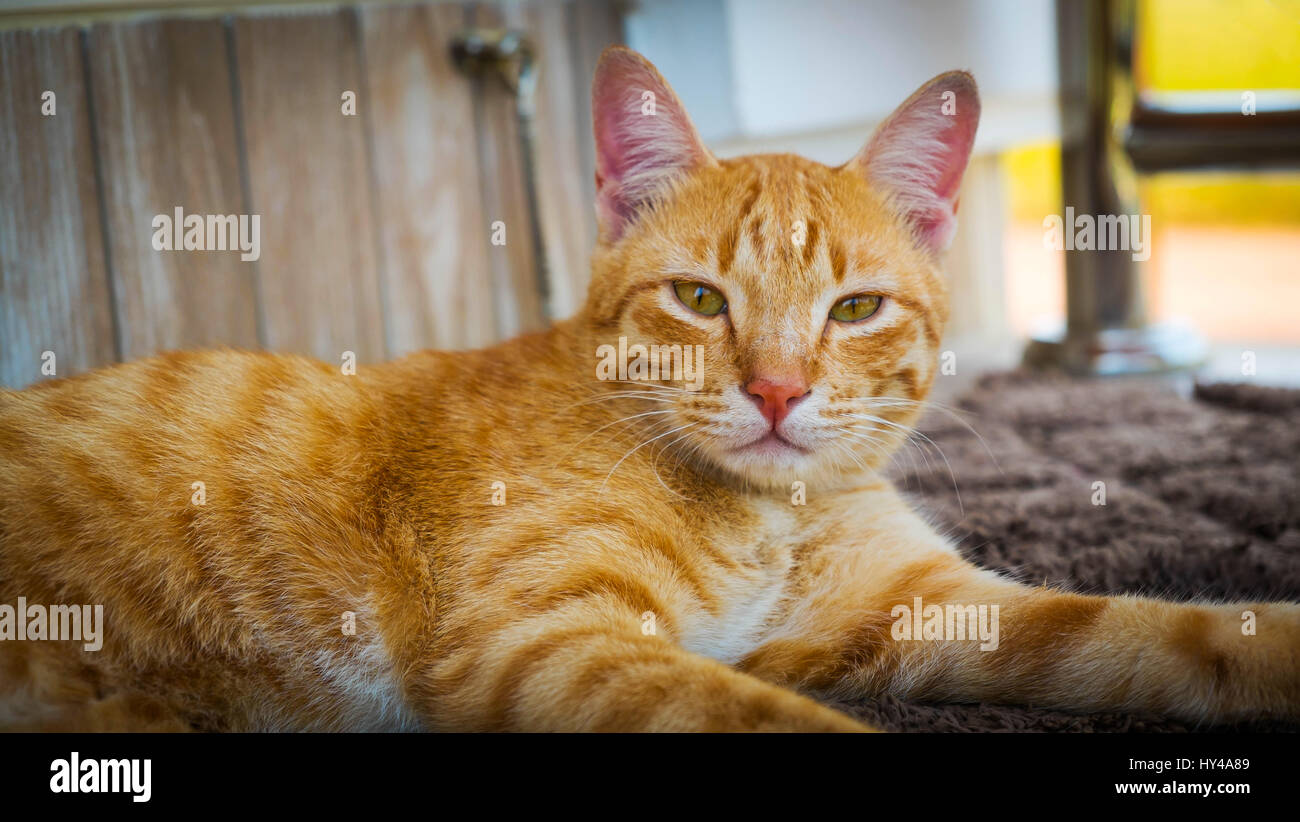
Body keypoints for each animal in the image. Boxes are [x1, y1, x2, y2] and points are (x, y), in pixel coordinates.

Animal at [2, 46, 1300, 733]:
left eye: (853, 311)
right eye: (700, 300)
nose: (775, 392)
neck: (767, 519)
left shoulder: (927, 606)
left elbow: (1166, 633)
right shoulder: (543, 641)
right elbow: (777, 723)